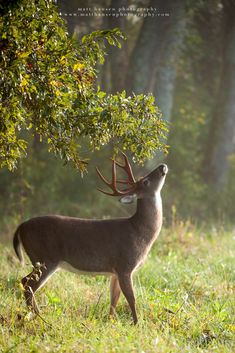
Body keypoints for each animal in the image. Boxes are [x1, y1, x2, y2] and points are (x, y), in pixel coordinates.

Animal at [12, 153, 168, 324]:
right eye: (145, 181)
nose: (162, 166)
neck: (139, 231)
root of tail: (21, 227)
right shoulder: (125, 265)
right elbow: (131, 298)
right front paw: (136, 324)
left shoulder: (115, 271)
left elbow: (114, 300)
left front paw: (111, 321)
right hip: (45, 257)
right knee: (27, 284)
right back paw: (40, 317)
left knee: (25, 282)